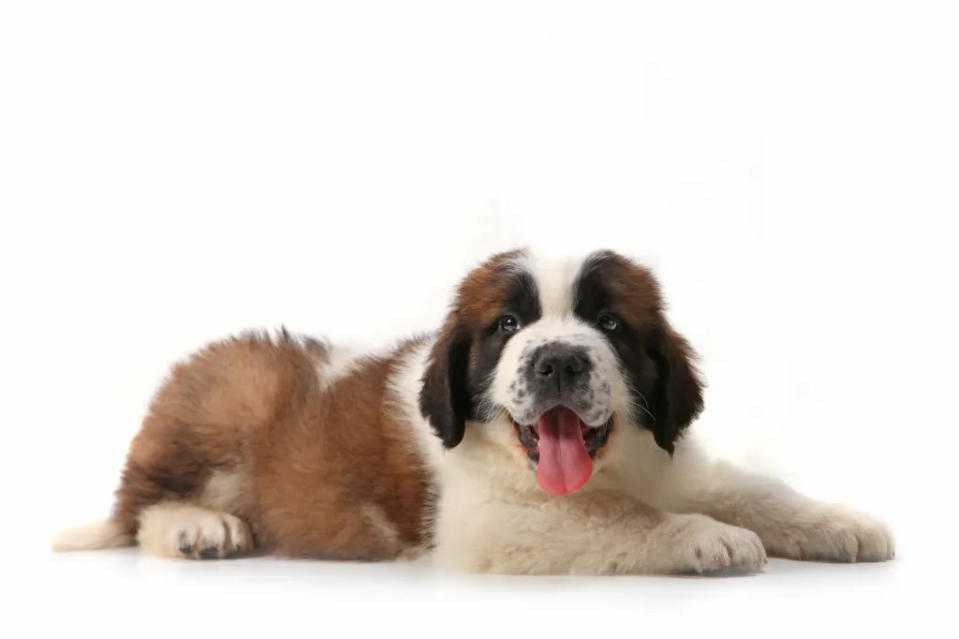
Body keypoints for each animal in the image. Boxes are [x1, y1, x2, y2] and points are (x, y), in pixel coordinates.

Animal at [52, 249, 892, 576]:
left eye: (609, 323)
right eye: (507, 326)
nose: (559, 360)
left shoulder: (670, 460)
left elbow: (754, 488)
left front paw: (841, 522)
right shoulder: (488, 522)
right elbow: (614, 519)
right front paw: (706, 537)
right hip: (233, 396)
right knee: (140, 509)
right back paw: (201, 529)